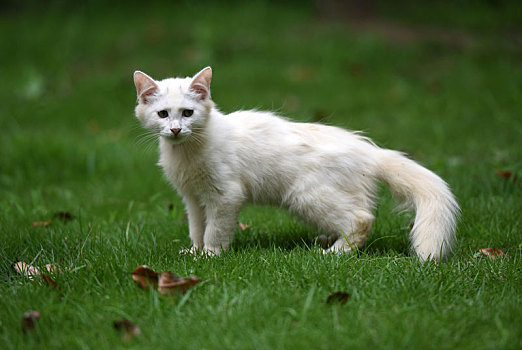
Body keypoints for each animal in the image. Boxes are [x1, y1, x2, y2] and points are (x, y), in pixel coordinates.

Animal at [132, 67, 458, 262]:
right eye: (163, 114)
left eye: (188, 113)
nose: (176, 129)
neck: (186, 153)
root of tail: (367, 150)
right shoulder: (193, 198)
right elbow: (197, 228)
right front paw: (195, 252)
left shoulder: (225, 196)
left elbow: (215, 230)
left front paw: (212, 255)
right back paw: (327, 241)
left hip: (306, 196)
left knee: (362, 219)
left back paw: (334, 253)